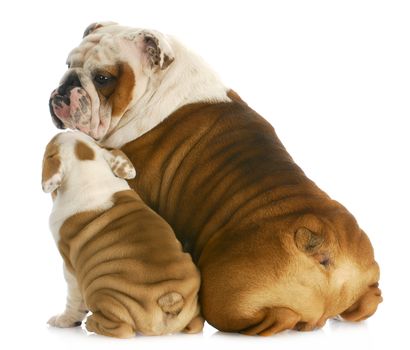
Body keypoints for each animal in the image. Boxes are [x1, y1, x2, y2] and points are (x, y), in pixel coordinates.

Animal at [41, 131, 202, 336]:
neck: (90, 174)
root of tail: (170, 298)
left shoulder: (69, 266)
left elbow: (73, 299)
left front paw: (65, 320)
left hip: (102, 291)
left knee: (123, 330)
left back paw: (91, 323)